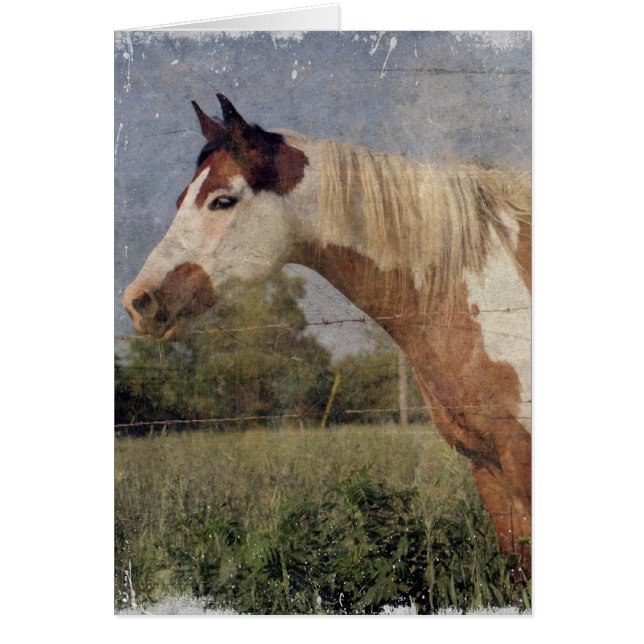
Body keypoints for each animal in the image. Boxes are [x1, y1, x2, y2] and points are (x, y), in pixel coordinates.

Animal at [122, 93, 532, 571]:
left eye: (223, 201)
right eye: (180, 198)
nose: (139, 301)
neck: (483, 287)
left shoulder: (521, 458)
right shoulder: (487, 466)